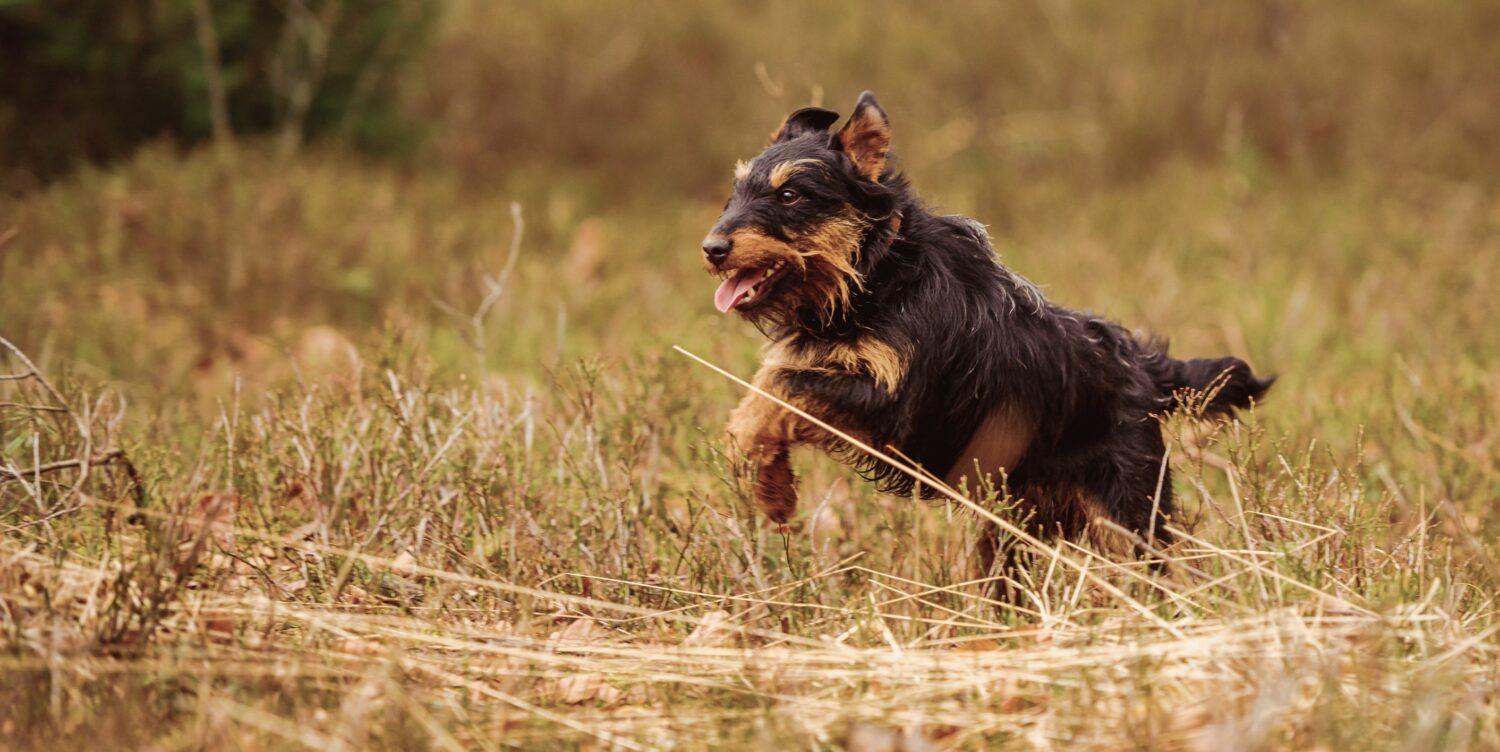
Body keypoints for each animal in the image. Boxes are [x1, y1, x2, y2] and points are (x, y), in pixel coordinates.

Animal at [708, 89, 1272, 579]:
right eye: (734, 194)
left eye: (789, 194)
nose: (712, 248)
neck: (876, 270)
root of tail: (1141, 366)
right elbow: (765, 397)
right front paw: (772, 486)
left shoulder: (891, 405)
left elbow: (779, 387)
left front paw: (764, 475)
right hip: (1013, 528)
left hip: (1126, 515)